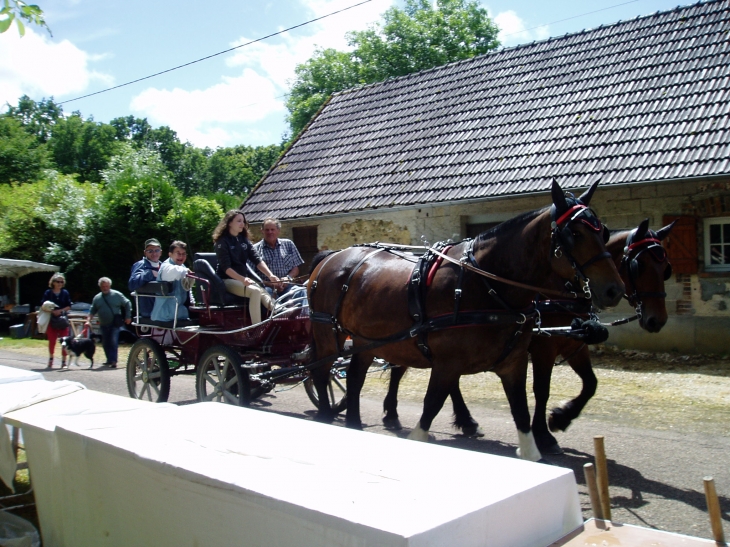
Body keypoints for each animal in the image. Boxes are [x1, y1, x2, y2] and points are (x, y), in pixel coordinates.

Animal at [306, 182, 620, 460]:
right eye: (574, 233)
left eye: (603, 232)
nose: (613, 289)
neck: (486, 286)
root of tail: (330, 258)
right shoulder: (449, 363)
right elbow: (431, 407)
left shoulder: (515, 363)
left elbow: (523, 410)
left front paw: (544, 436)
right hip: (328, 334)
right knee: (321, 373)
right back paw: (327, 415)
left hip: (366, 341)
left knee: (355, 378)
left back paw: (355, 423)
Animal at [382, 217, 672, 454]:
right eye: (639, 265)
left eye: (666, 268)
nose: (657, 320)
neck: (561, 288)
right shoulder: (545, 347)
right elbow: (542, 390)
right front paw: (545, 434)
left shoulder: (572, 343)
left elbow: (591, 383)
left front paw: (562, 417)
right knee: (401, 369)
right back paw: (393, 414)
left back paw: (466, 421)